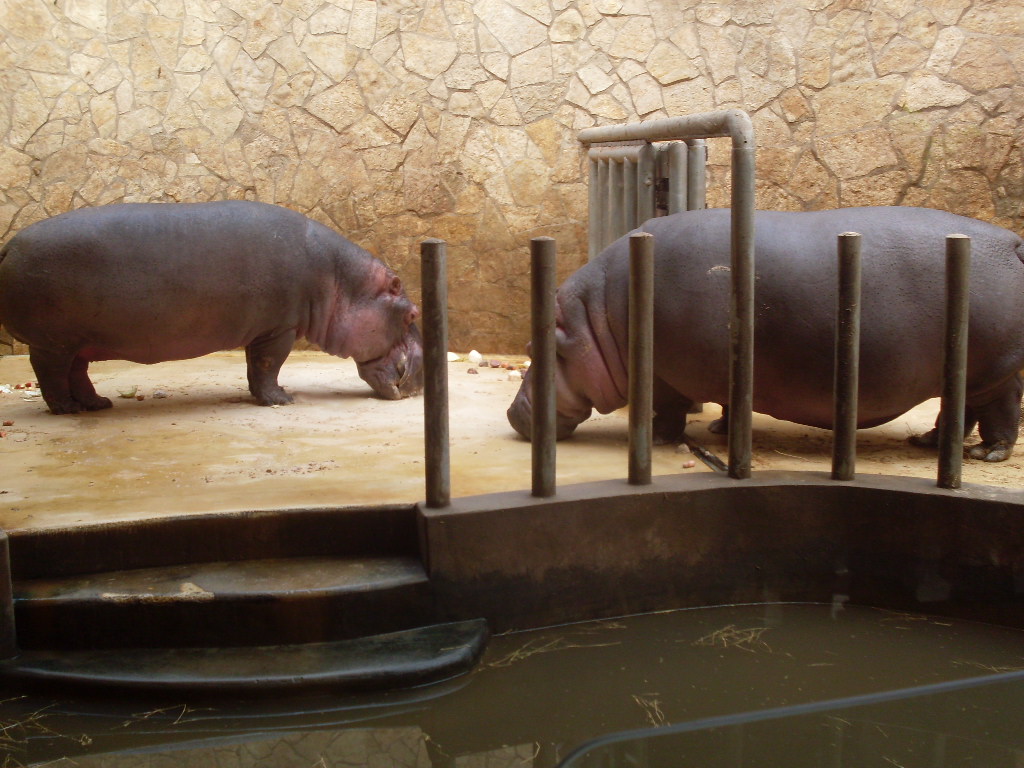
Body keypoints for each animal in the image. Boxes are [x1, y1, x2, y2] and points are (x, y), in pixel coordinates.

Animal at [0, 201, 423, 414]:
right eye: (413, 314)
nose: (419, 382)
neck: (341, 281)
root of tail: (9, 245)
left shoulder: (264, 329)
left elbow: (255, 368)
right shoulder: (279, 329)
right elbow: (268, 366)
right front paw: (283, 399)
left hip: (77, 341)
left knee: (77, 372)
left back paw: (97, 405)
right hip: (52, 342)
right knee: (50, 374)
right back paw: (67, 410)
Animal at [508, 207, 1024, 462]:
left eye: (535, 348)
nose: (513, 415)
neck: (594, 320)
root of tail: (1012, 241)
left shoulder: (669, 376)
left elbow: (669, 411)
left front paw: (657, 437)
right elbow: (731, 403)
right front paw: (719, 429)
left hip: (992, 372)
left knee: (999, 410)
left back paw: (987, 455)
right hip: (966, 373)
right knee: (959, 410)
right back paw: (930, 443)